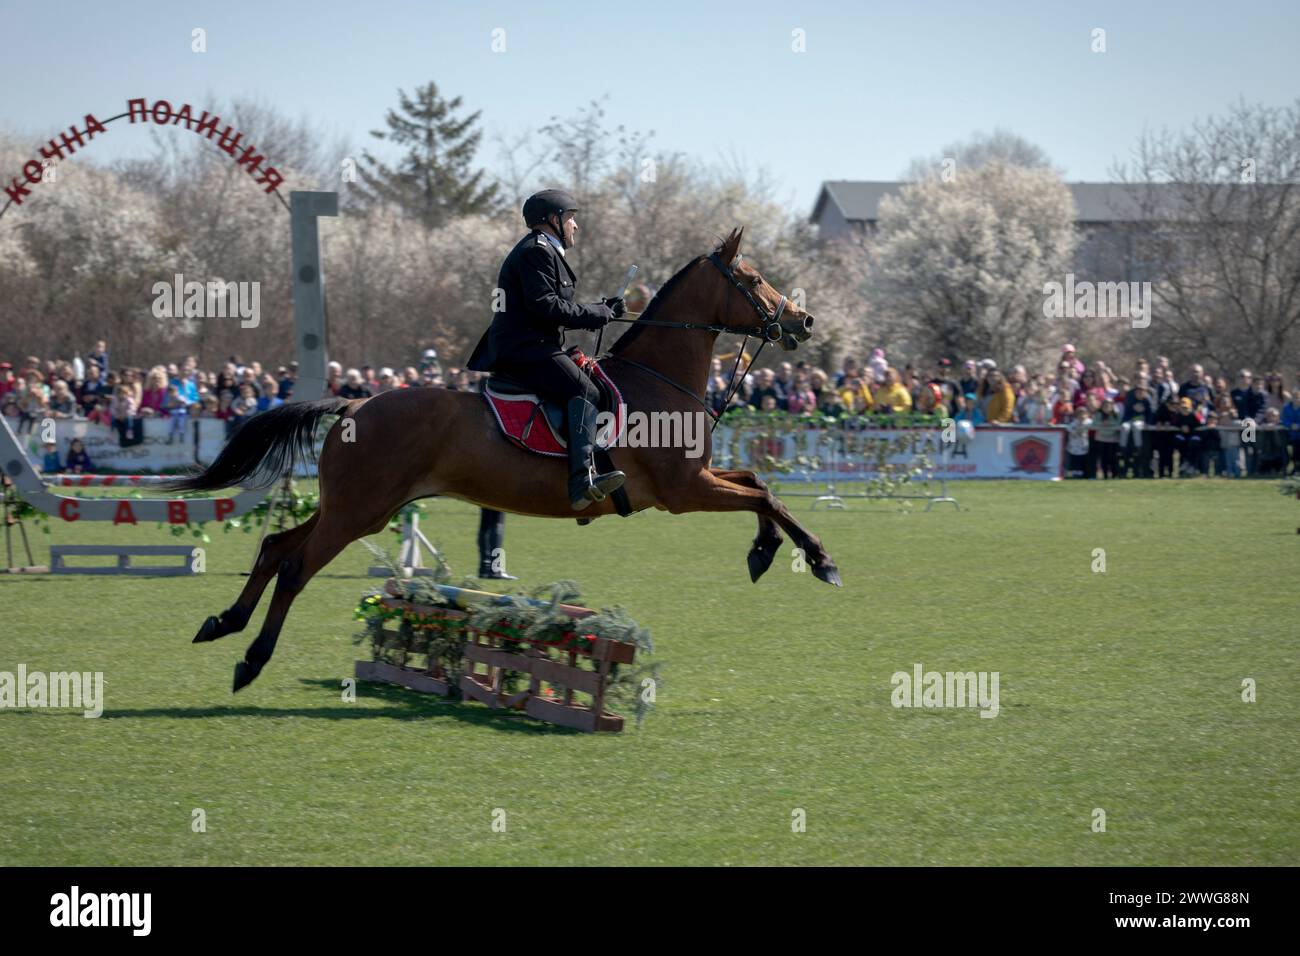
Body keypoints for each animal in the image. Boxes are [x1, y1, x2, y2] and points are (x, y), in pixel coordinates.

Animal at [172, 231, 842, 697]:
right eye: (753, 278)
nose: (805, 321)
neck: (659, 380)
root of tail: (357, 401)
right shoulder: (682, 490)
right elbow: (766, 495)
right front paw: (817, 559)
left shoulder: (694, 482)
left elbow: (758, 483)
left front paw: (766, 552)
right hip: (359, 511)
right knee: (294, 567)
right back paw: (251, 660)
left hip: (357, 507)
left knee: (274, 548)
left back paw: (223, 623)